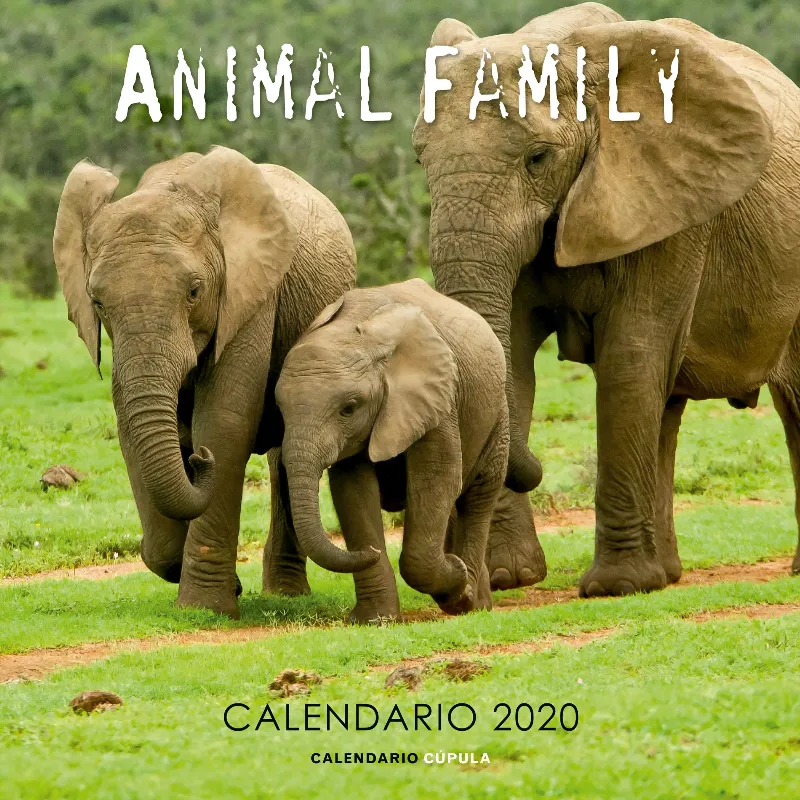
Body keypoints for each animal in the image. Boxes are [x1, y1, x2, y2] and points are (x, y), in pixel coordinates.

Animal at [53, 146, 356, 617]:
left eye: (194, 292)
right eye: (97, 302)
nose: (198, 460)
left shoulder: (251, 294)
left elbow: (225, 421)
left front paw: (207, 607)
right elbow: (130, 426)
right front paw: (214, 582)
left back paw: (285, 594)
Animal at [275, 278, 509, 622]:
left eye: (348, 408)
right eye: (279, 409)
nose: (367, 552)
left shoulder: (437, 398)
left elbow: (435, 480)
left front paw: (457, 583)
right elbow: (353, 491)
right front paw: (375, 620)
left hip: (497, 413)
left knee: (479, 494)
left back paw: (472, 602)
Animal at [413, 3, 800, 597]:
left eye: (537, 158)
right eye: (419, 160)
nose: (535, 469)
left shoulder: (671, 203)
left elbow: (629, 356)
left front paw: (616, 587)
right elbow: (516, 362)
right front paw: (509, 577)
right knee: (668, 407)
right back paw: (667, 574)